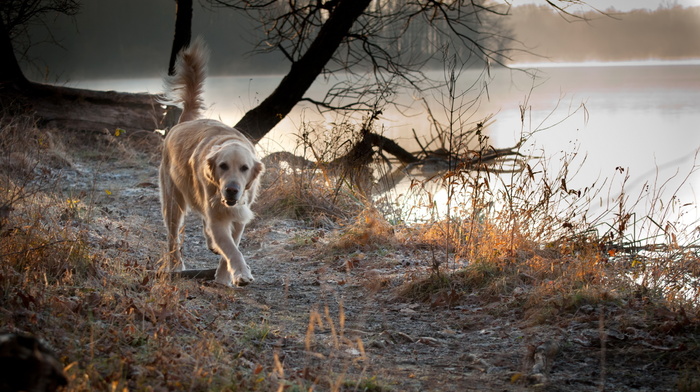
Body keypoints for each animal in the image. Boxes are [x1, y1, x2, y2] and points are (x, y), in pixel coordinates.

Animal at [160, 38, 264, 286]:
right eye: (223, 166)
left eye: (244, 168)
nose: (232, 190)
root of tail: (182, 122)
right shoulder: (218, 214)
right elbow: (232, 248)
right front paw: (240, 273)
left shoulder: (239, 214)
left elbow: (232, 244)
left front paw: (225, 276)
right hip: (173, 201)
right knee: (172, 237)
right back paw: (175, 265)